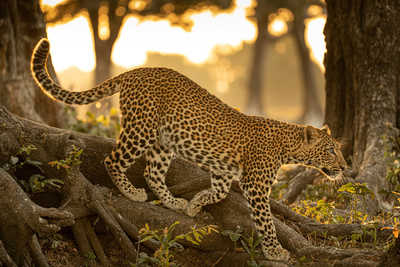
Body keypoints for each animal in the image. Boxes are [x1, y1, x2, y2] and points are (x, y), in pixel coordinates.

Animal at [30, 38, 346, 262]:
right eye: (330, 150)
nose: (344, 167)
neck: (287, 147)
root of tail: (134, 71)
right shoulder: (255, 184)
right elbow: (266, 221)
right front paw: (275, 251)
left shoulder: (223, 171)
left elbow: (218, 192)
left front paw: (195, 204)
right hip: (141, 128)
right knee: (113, 159)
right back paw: (132, 193)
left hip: (163, 141)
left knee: (152, 172)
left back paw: (174, 203)